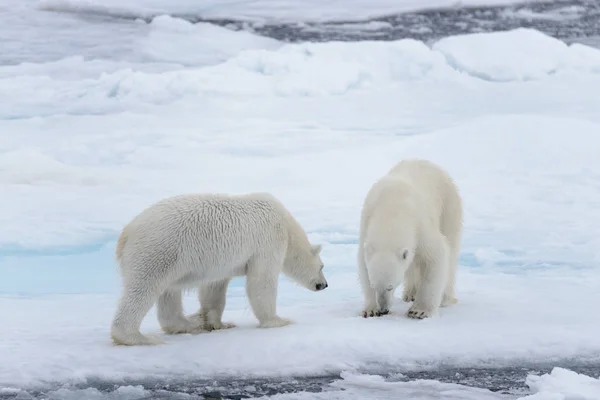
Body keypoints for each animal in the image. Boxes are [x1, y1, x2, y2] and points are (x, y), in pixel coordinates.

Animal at [111, 192, 328, 346]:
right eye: (322, 266)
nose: (324, 285)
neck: (287, 226)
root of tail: (125, 234)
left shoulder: (219, 264)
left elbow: (213, 288)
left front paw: (219, 323)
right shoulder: (268, 241)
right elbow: (261, 282)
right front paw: (279, 320)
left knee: (169, 291)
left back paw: (188, 324)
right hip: (159, 250)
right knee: (143, 288)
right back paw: (138, 338)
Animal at [358, 159, 462, 318]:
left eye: (390, 286)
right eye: (374, 285)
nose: (383, 310)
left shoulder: (420, 225)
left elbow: (436, 255)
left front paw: (419, 311)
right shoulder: (366, 222)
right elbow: (363, 264)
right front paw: (370, 310)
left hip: (449, 208)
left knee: (451, 252)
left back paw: (445, 298)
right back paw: (410, 293)